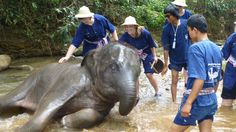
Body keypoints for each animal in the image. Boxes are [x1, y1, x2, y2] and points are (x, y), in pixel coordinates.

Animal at [0, 42, 141, 131]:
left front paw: (63, 121)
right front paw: (18, 130)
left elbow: (95, 114)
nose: (138, 99)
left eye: (139, 72)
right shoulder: (69, 81)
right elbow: (48, 103)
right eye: (113, 67)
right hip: (28, 84)